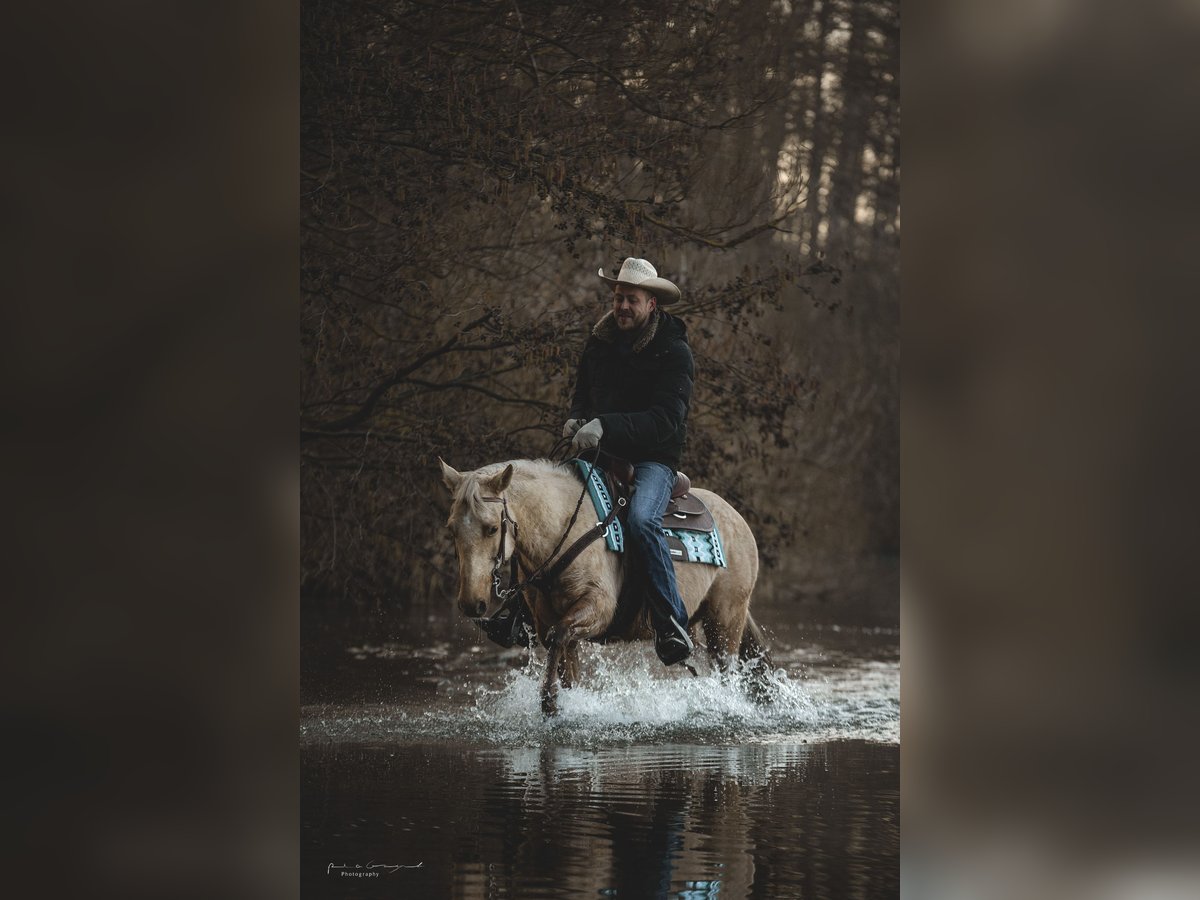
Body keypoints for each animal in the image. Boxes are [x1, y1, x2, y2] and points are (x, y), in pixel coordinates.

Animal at [438, 457, 773, 715]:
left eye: (492, 528)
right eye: (451, 530)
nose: (471, 603)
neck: (565, 529)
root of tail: (737, 518)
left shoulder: (598, 608)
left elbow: (560, 635)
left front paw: (549, 702)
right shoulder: (549, 622)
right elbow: (562, 654)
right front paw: (563, 701)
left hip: (725, 620)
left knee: (727, 673)